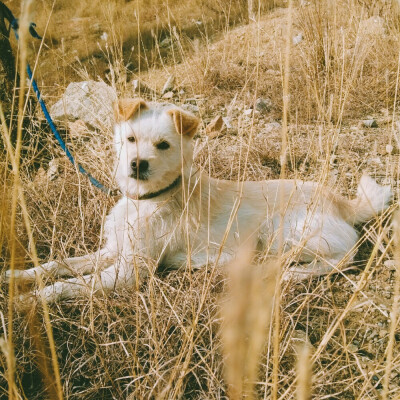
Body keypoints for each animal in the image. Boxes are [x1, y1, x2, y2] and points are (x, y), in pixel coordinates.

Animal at [5, 98, 394, 302]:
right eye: (130, 139)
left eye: (162, 145)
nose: (137, 164)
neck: (146, 200)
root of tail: (341, 202)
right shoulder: (113, 251)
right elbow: (57, 265)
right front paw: (18, 276)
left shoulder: (130, 271)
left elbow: (71, 284)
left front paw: (32, 300)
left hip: (282, 230)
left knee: (342, 258)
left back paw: (289, 273)